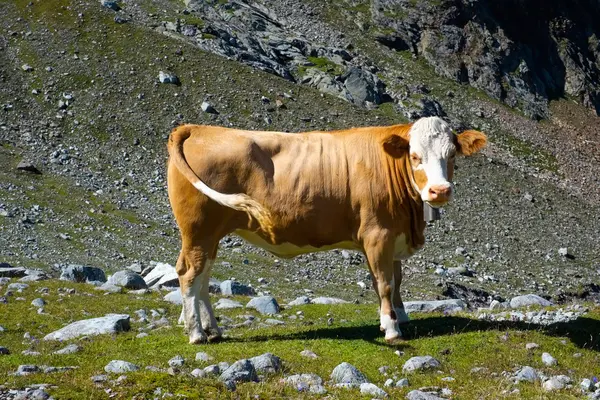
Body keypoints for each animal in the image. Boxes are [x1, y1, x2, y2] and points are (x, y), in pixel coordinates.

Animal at [165, 116, 488, 344]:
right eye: (415, 156)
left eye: (452, 155)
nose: (439, 190)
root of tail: (198, 128)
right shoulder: (378, 235)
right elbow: (384, 283)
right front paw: (392, 328)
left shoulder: (392, 238)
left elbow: (396, 281)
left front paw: (400, 316)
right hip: (198, 231)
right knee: (189, 275)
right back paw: (197, 334)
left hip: (210, 235)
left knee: (203, 277)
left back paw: (213, 329)